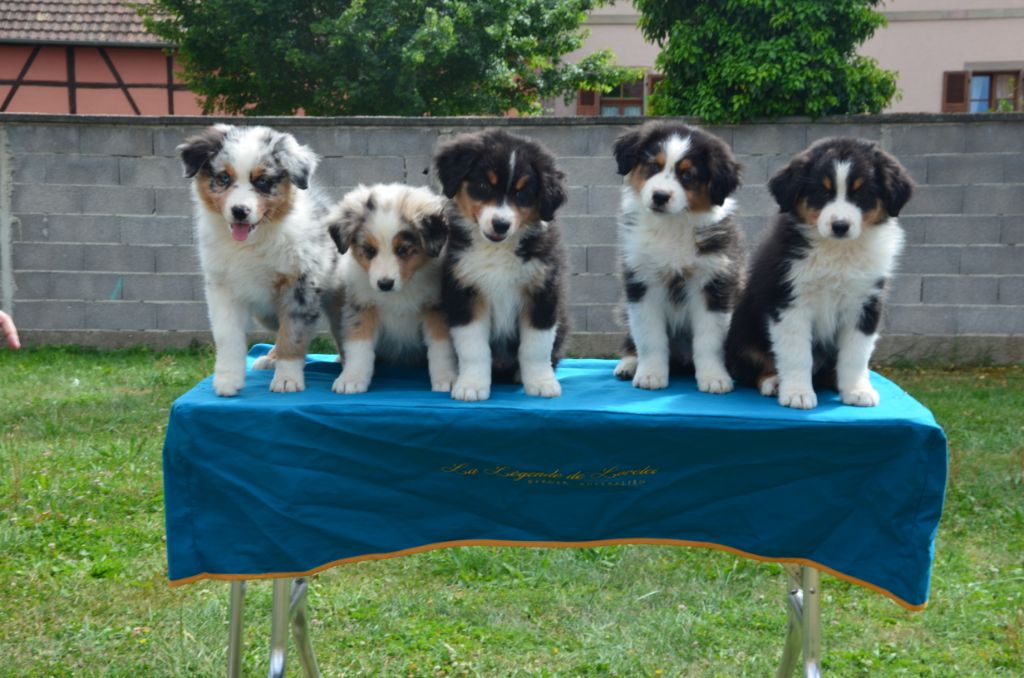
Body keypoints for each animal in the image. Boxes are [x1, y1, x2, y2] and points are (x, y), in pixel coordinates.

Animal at [179, 124, 344, 395]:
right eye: (224, 178)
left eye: (263, 182)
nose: (240, 211)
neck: (252, 243)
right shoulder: (222, 287)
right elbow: (228, 337)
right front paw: (227, 380)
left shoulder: (299, 285)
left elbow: (293, 334)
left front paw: (287, 379)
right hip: (265, 314)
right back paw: (271, 357)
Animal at [327, 183, 456, 395]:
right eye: (370, 250)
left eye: (403, 250)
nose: (385, 284)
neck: (400, 292)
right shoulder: (361, 306)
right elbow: (358, 345)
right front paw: (352, 379)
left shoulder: (436, 308)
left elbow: (441, 345)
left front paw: (447, 378)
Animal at [434, 130, 573, 401]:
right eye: (483, 186)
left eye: (522, 194)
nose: (501, 225)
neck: (497, 250)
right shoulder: (464, 293)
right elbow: (473, 348)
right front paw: (471, 385)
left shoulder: (543, 291)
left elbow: (537, 346)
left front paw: (541, 383)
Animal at [606, 122, 745, 393]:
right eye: (653, 166)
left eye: (687, 175)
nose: (660, 196)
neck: (672, 225)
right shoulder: (642, 282)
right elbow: (649, 337)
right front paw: (650, 375)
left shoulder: (714, 283)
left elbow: (709, 339)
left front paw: (714, 377)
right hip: (624, 306)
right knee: (632, 338)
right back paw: (629, 364)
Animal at [724, 138, 917, 409]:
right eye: (822, 192)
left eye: (861, 193)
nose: (840, 226)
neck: (837, 251)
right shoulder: (790, 302)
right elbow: (796, 354)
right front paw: (797, 393)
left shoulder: (865, 304)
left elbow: (856, 353)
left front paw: (857, 390)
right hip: (744, 332)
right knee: (752, 366)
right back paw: (773, 381)